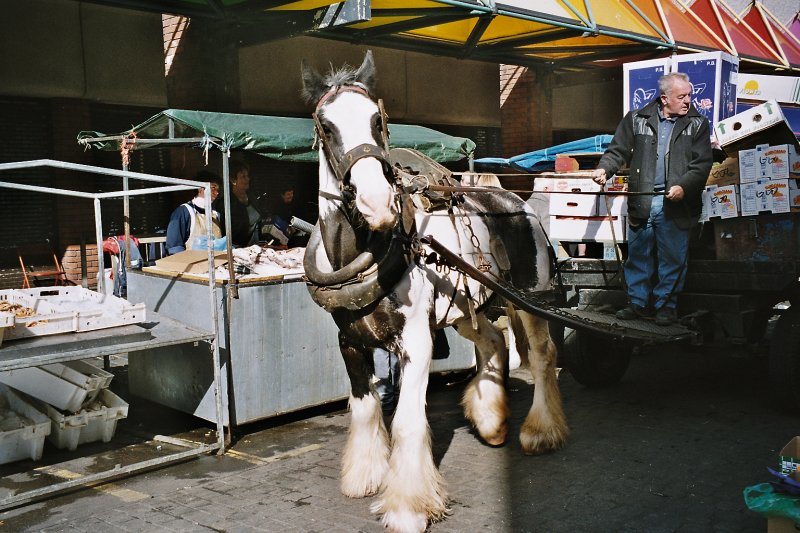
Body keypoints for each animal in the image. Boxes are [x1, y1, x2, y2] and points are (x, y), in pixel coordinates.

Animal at [300, 51, 568, 532]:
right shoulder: (349, 342)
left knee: (541, 357)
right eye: (326, 126)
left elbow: (408, 422)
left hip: (530, 301)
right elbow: (365, 407)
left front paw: (408, 505)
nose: (376, 202)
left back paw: (539, 431)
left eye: (378, 120)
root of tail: (519, 203)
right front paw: (364, 475)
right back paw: (490, 421)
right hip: (464, 308)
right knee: (494, 341)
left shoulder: (418, 341)